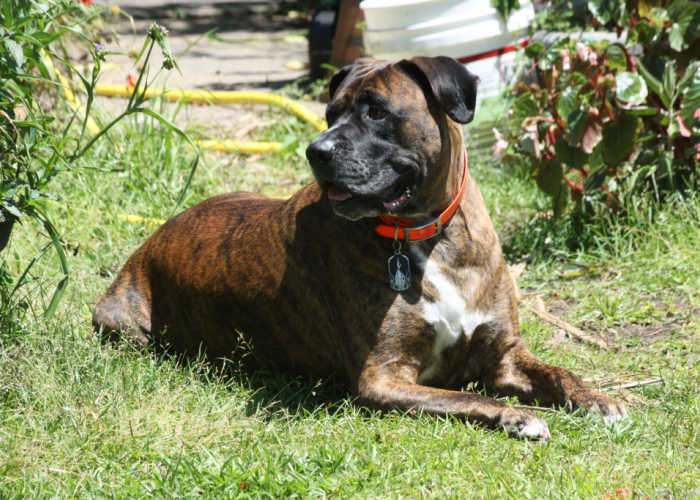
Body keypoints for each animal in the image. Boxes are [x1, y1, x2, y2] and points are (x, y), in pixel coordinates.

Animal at [91, 55, 624, 438]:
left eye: (378, 112)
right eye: (330, 114)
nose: (316, 150)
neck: (428, 237)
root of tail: (149, 242)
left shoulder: (505, 355)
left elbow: (560, 372)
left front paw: (603, 400)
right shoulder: (383, 377)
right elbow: (467, 398)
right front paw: (515, 416)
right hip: (123, 326)